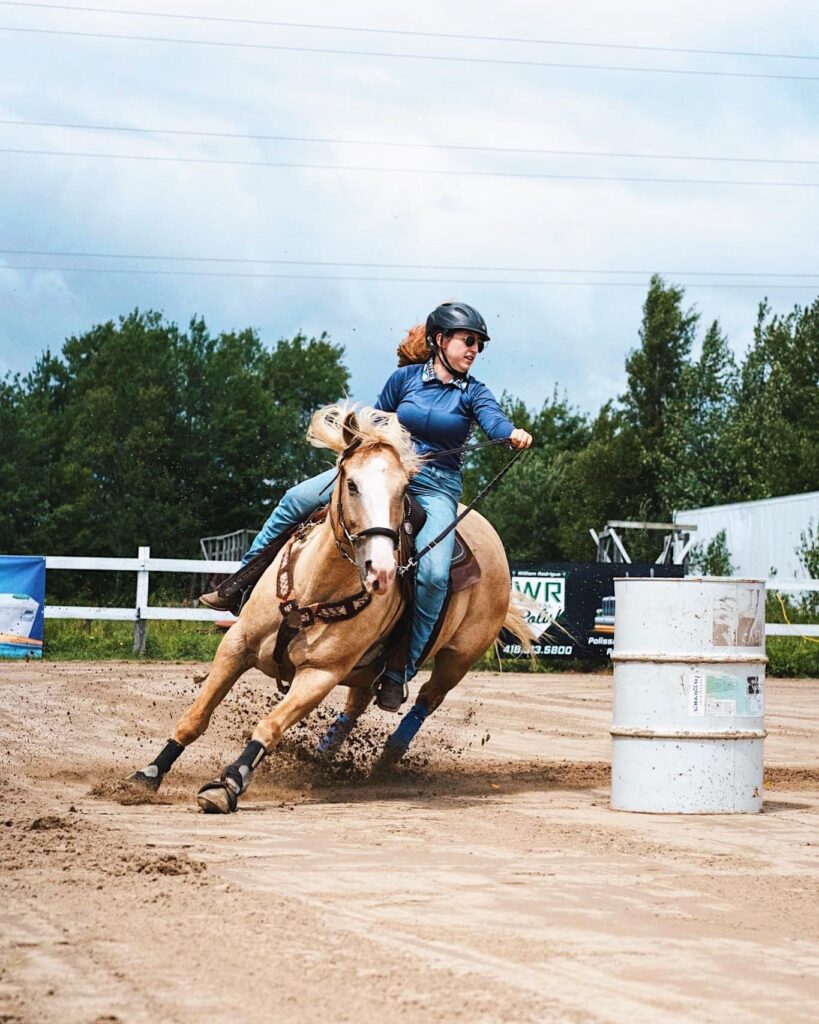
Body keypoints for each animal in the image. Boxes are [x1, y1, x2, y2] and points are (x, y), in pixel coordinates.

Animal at [125, 403, 528, 811]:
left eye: (402, 491)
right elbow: (196, 717)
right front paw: (148, 774)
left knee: (424, 701)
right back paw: (322, 758)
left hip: (456, 661)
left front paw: (228, 784)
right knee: (357, 703)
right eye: (351, 483)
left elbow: (270, 726)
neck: (310, 591)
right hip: (368, 667)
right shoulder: (236, 645)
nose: (381, 571)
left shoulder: (320, 674)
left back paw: (385, 762)